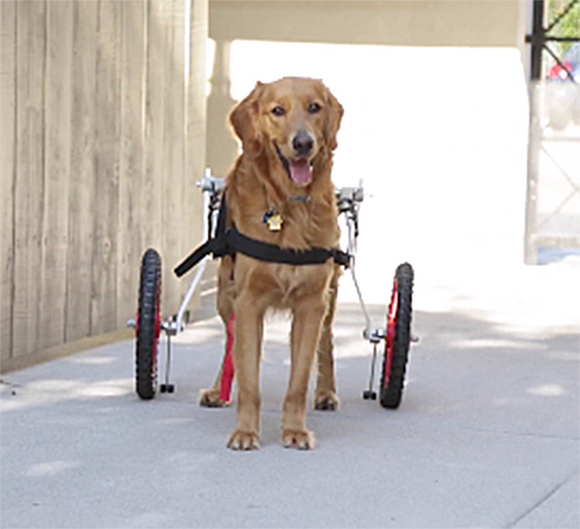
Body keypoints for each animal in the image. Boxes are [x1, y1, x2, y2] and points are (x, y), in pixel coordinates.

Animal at [201, 77, 344, 450]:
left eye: (314, 107)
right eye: (277, 110)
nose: (303, 143)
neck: (289, 205)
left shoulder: (311, 303)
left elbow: (298, 382)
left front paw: (294, 430)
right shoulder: (248, 301)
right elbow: (249, 380)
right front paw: (245, 432)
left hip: (330, 296)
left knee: (327, 342)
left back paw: (326, 393)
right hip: (225, 292)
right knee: (230, 345)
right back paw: (218, 390)